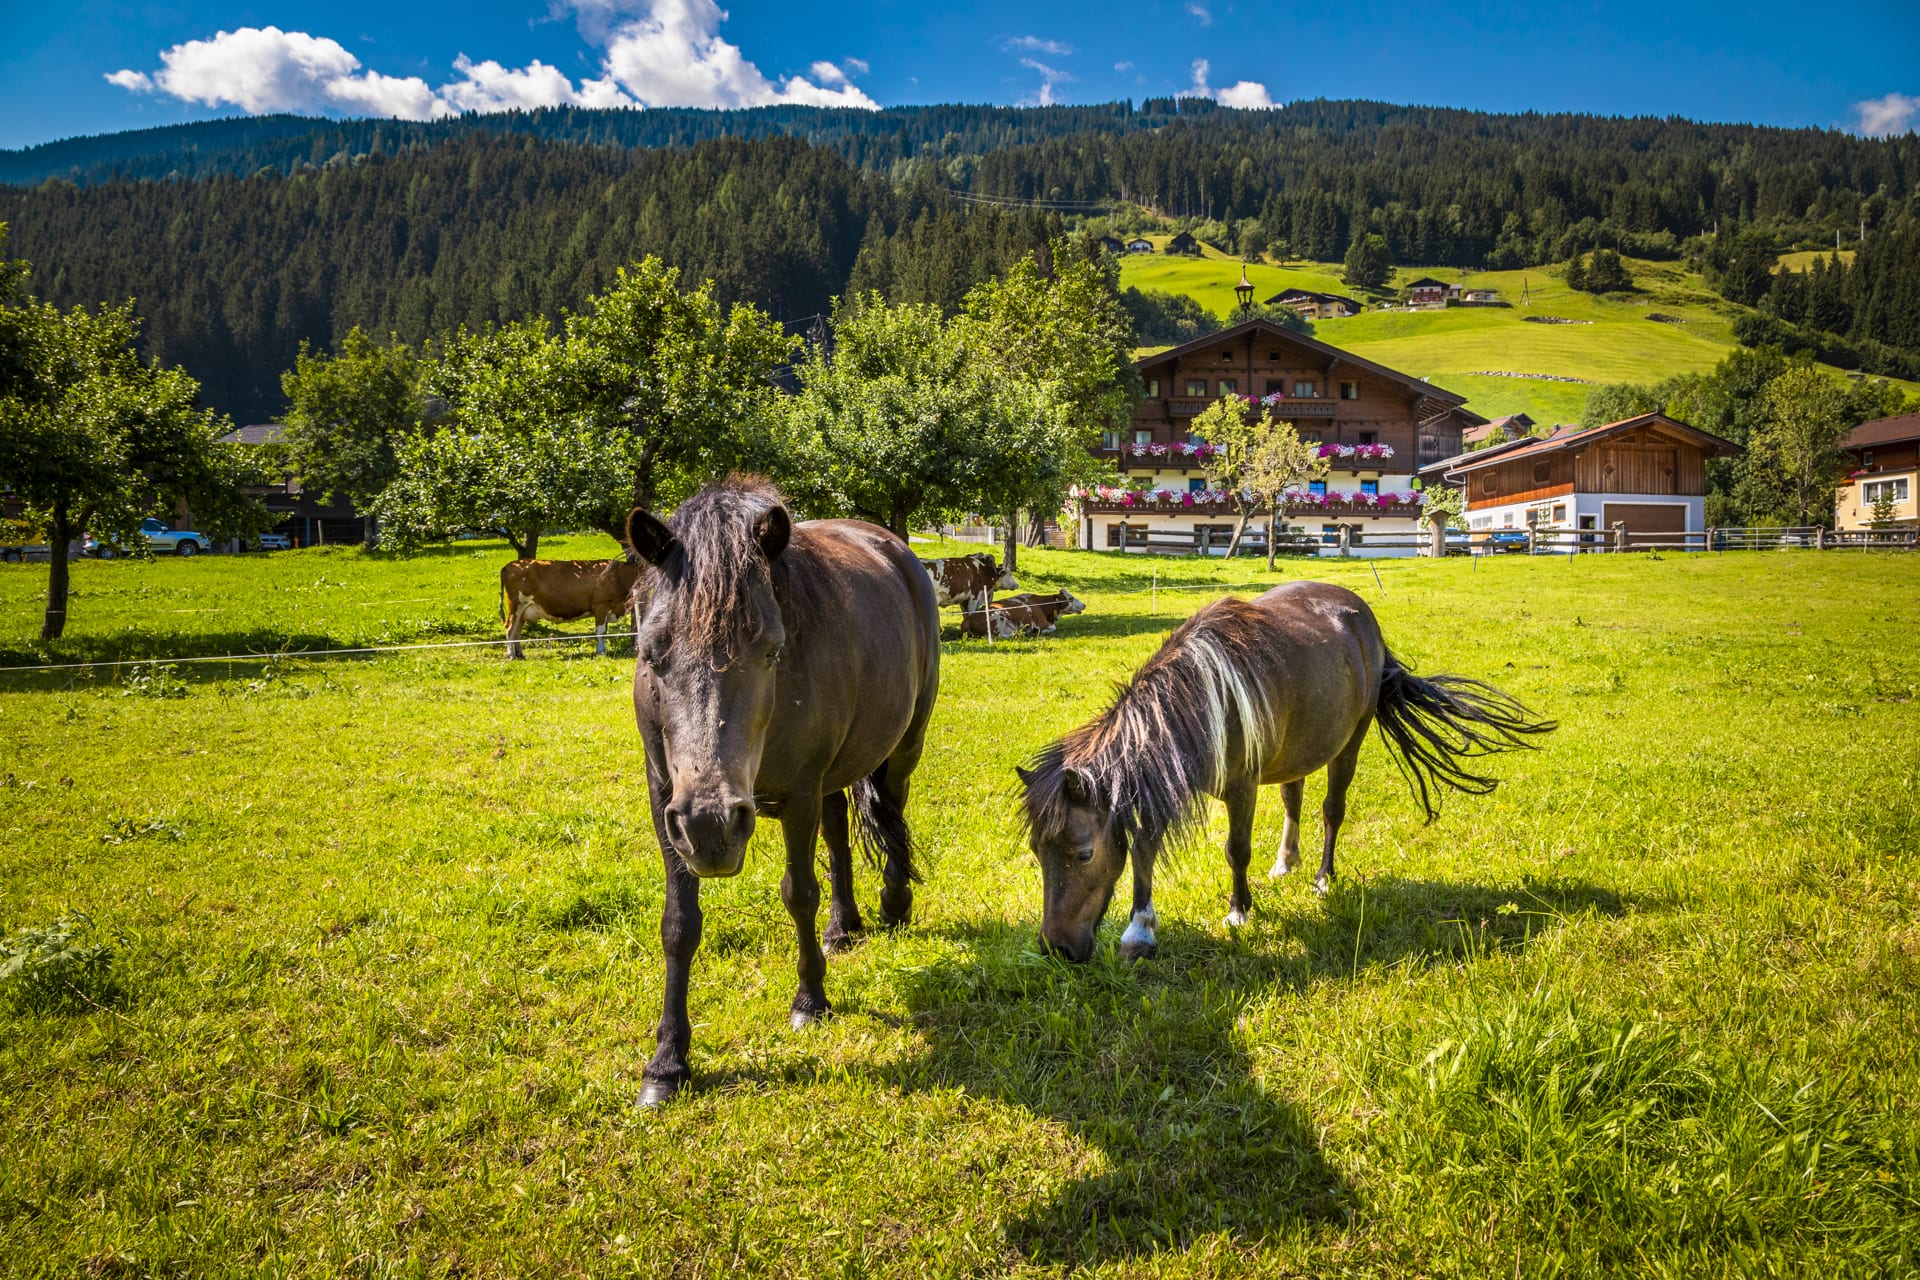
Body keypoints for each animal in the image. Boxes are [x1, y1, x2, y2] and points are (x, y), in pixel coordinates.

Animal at [499, 558, 643, 659]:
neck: (618, 576)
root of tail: (510, 564)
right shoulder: (601, 606)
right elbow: (601, 632)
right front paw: (601, 652)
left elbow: (605, 632)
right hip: (516, 605)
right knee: (510, 628)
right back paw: (511, 655)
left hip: (522, 611)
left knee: (517, 630)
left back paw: (520, 654)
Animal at [626, 478, 941, 1106]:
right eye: (652, 652)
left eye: (771, 650)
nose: (712, 825)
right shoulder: (664, 803)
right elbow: (679, 926)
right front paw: (668, 1062)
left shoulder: (798, 795)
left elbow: (799, 893)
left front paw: (810, 1001)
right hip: (830, 777)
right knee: (840, 833)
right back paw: (845, 927)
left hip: (902, 747)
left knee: (892, 811)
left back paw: (893, 904)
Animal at [1016, 581, 1554, 962]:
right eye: (1038, 853)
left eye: (1083, 854)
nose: (1056, 950)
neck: (1205, 700)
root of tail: (1364, 618)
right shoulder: (1160, 786)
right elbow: (1144, 850)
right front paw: (1139, 932)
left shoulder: (1240, 789)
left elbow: (1236, 850)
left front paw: (1238, 912)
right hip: (1299, 750)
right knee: (1294, 799)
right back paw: (1285, 862)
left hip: (1349, 745)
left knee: (1332, 810)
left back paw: (1321, 878)